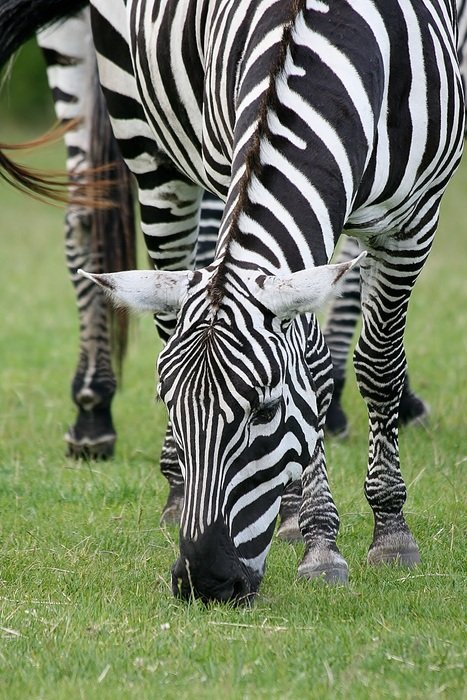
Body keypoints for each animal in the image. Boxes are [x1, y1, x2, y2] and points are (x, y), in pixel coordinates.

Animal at [0, 0, 463, 604]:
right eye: (168, 403)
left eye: (266, 410)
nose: (207, 581)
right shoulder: (228, 160)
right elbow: (312, 362)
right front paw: (320, 538)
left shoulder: (416, 218)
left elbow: (378, 363)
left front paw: (390, 531)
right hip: (143, 131)